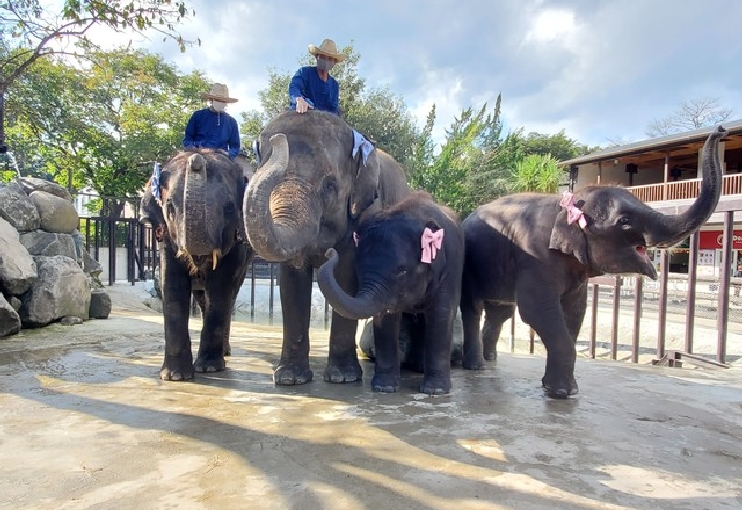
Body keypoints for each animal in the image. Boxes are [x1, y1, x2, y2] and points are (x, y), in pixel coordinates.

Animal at [141, 146, 254, 378]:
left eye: (229, 208)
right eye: (169, 206)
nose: (196, 160)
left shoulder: (235, 245)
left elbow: (220, 288)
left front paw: (209, 368)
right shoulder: (166, 239)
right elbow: (172, 285)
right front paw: (175, 376)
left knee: (229, 295)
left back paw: (224, 353)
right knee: (203, 299)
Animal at [243, 108, 410, 386]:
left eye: (329, 186)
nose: (277, 140)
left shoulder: (366, 214)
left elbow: (345, 276)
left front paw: (343, 378)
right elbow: (291, 282)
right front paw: (290, 379)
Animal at [318, 191, 468, 394]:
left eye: (402, 272)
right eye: (359, 268)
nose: (329, 252)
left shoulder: (451, 264)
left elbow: (441, 313)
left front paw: (435, 391)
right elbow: (387, 319)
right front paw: (384, 388)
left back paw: (421, 369)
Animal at [460, 126, 728, 398]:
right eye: (624, 221)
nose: (720, 130)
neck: (565, 205)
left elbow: (576, 311)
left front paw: (561, 389)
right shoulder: (536, 259)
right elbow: (538, 310)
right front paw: (562, 393)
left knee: (500, 312)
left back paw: (490, 359)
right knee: (475, 309)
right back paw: (477, 366)